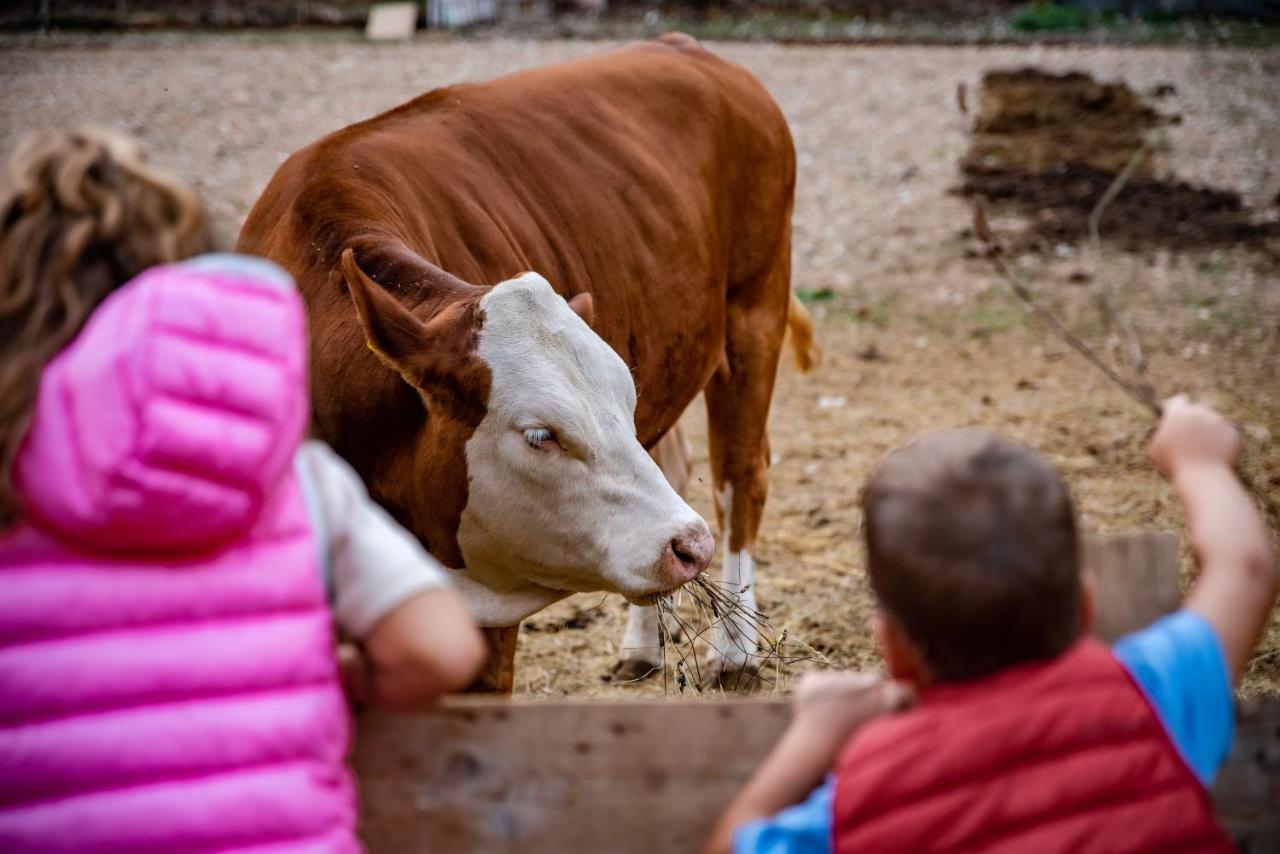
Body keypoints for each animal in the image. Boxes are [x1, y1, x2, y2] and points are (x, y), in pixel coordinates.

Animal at [235, 33, 803, 691]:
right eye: (539, 435)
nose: (688, 546)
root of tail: (687, 49)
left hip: (756, 312)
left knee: (741, 476)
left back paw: (734, 653)